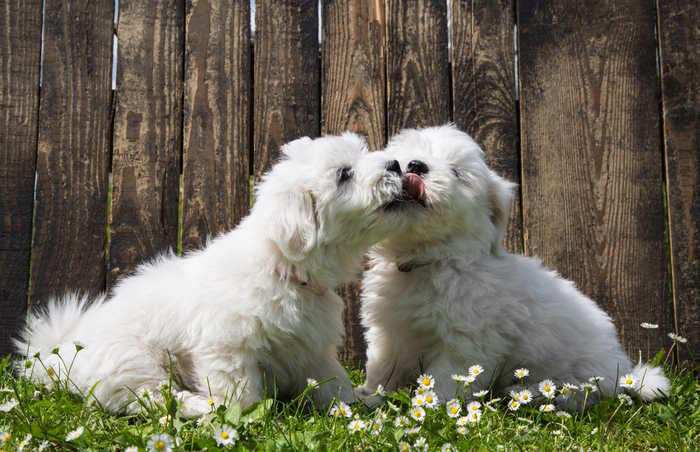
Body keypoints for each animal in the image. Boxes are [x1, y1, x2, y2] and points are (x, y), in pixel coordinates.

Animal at [15, 133, 404, 416]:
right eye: (344, 174)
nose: (396, 165)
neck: (283, 267)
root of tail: (61, 353)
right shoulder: (227, 347)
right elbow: (240, 393)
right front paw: (247, 419)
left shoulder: (312, 348)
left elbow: (332, 381)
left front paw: (358, 402)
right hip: (133, 360)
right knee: (149, 397)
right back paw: (200, 406)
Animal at [358, 125, 668, 408]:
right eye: (406, 158)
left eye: (457, 172)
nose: (415, 165)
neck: (433, 260)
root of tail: (623, 373)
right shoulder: (390, 332)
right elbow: (382, 366)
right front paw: (369, 397)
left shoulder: (466, 342)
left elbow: (446, 380)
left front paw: (430, 407)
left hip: (582, 374)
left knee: (575, 393)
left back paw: (523, 392)